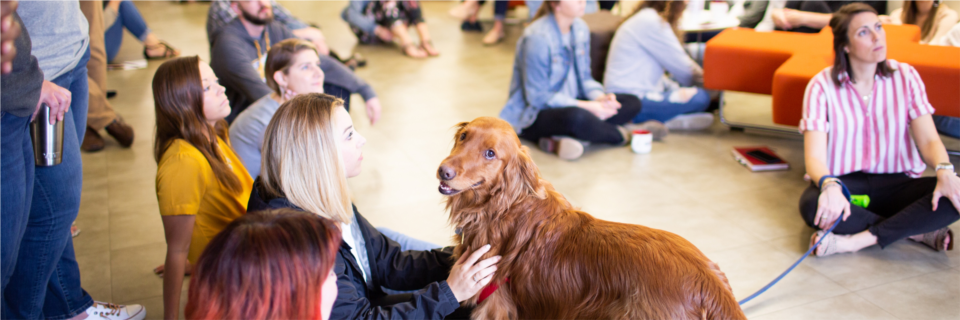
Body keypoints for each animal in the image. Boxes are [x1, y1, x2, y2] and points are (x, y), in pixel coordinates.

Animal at [438, 117, 748, 320]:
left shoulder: (494, 305)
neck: (504, 206)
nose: (444, 171)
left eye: (490, 153)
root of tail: (710, 284)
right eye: (464, 136)